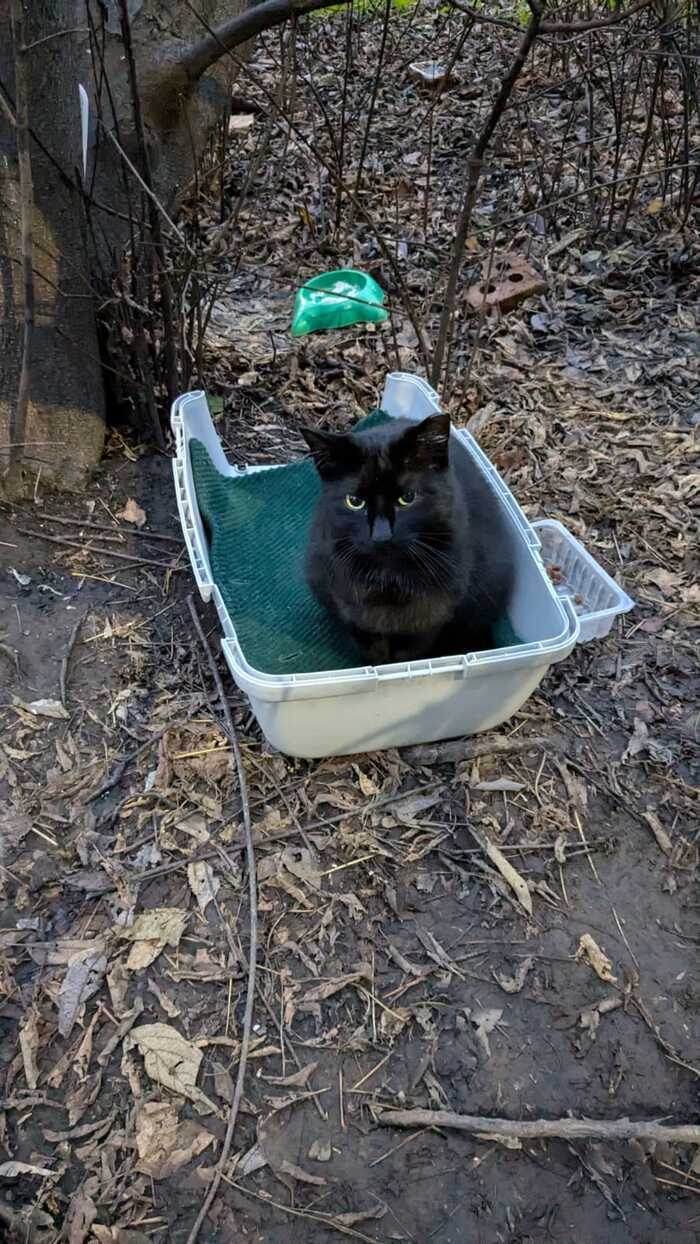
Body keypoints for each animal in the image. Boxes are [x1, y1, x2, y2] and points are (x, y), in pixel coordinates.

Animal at [302, 413, 514, 666]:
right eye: (354, 501)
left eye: (407, 498)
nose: (381, 535)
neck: (389, 579)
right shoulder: (353, 611)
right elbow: (372, 649)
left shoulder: (431, 617)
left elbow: (409, 653)